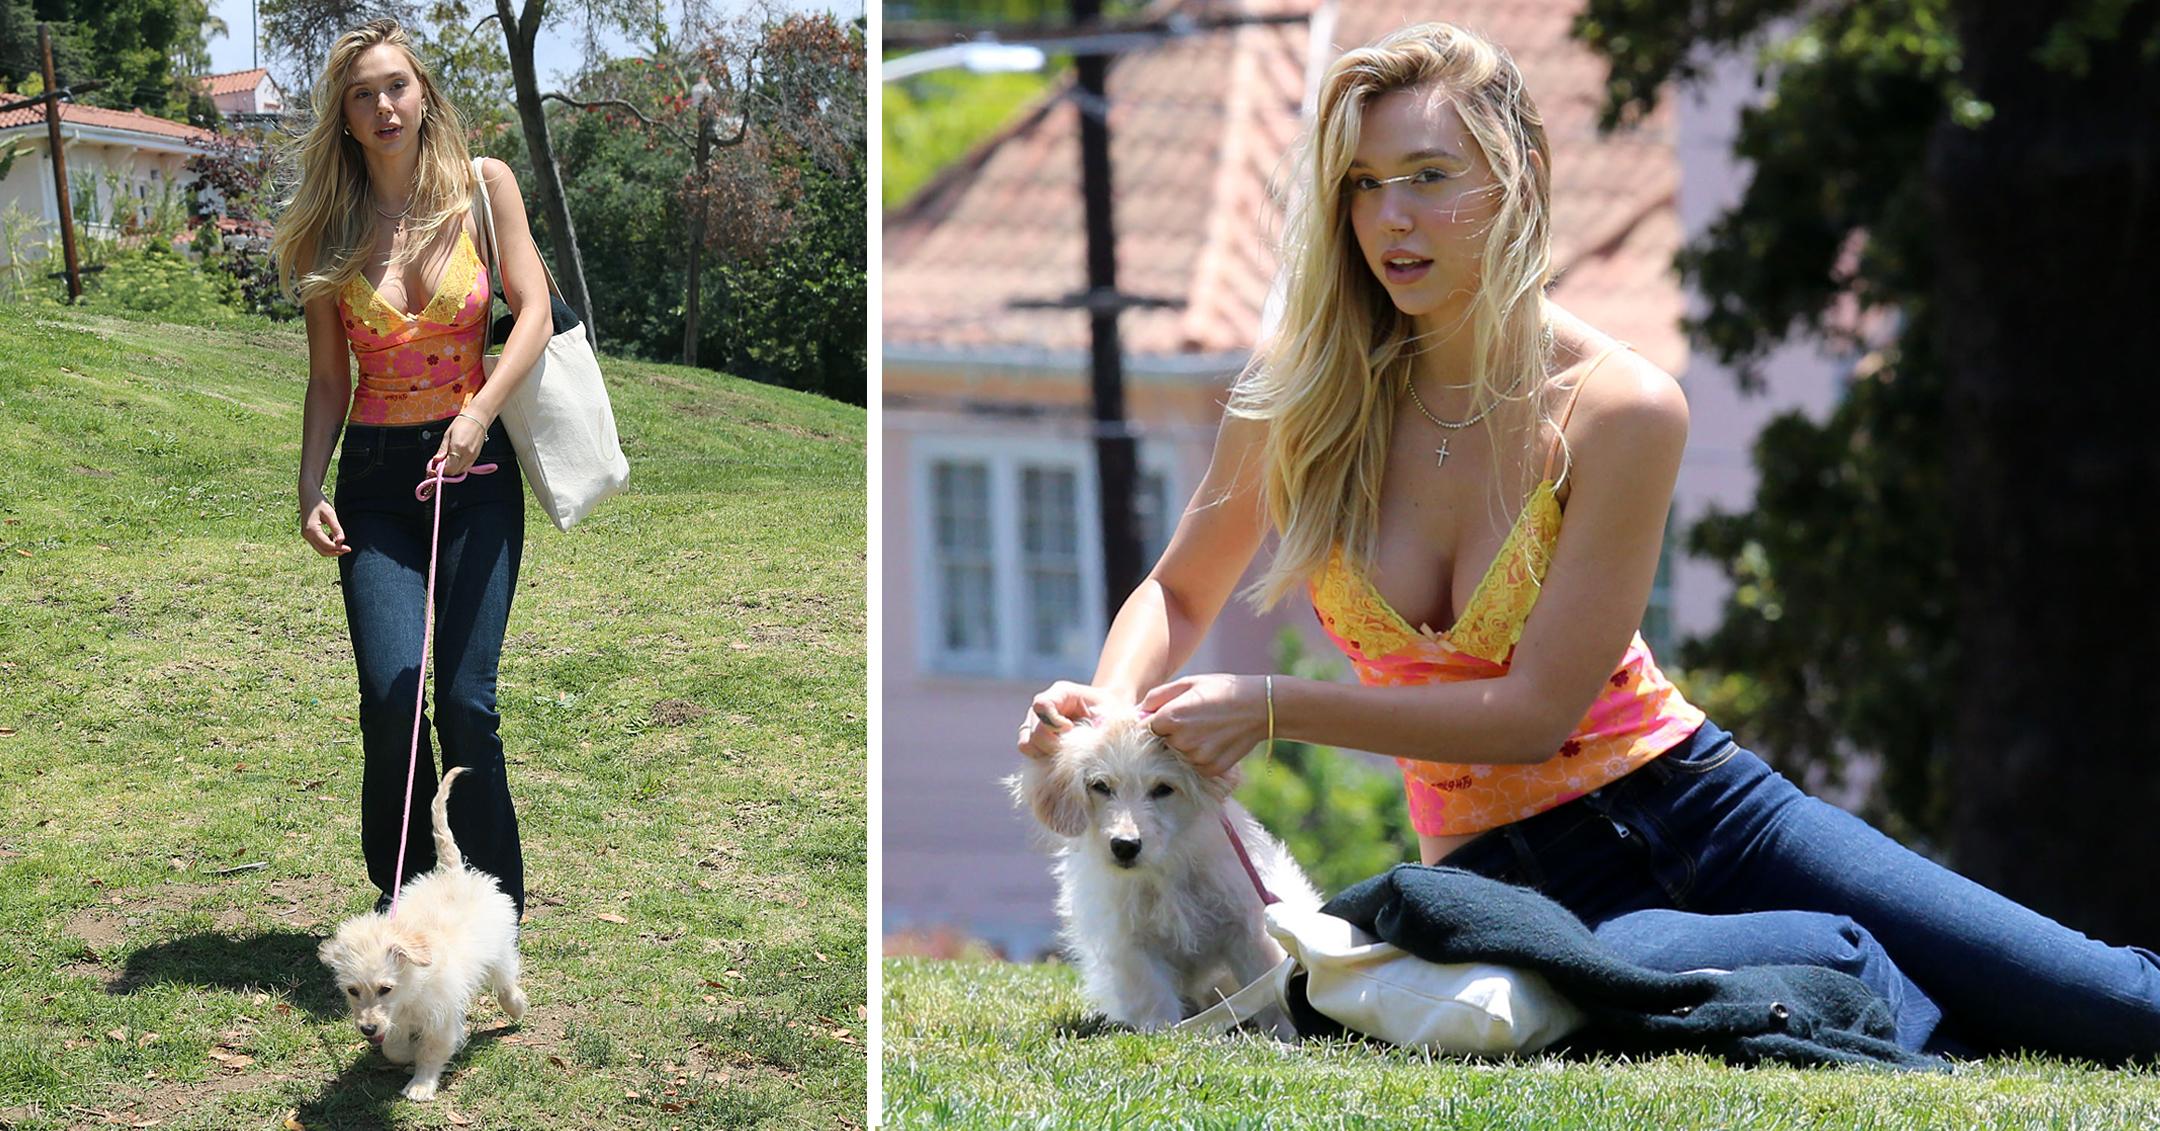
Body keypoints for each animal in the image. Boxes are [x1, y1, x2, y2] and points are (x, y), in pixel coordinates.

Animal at [317, 764, 524, 1100]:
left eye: (385, 988)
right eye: (352, 991)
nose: (367, 1029)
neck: (411, 989)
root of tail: (452, 872)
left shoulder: (442, 1016)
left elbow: (431, 1051)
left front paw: (421, 1085)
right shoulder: (396, 1021)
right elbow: (392, 1048)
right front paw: (403, 1053)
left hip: (498, 943)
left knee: (505, 979)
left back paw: (516, 1005)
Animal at [1006, 712, 1321, 1040]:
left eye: (1163, 789)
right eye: (1100, 786)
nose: (1125, 845)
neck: (1163, 868)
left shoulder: (1248, 928)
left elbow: (1266, 981)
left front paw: (1287, 1034)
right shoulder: (1131, 943)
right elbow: (1153, 992)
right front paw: (1163, 1033)